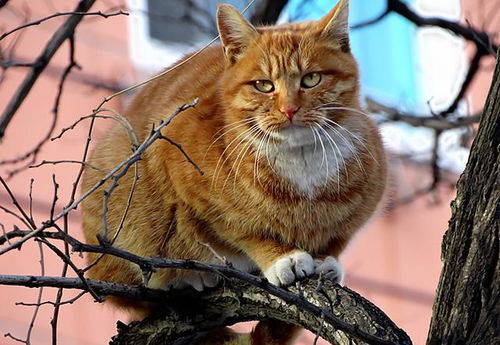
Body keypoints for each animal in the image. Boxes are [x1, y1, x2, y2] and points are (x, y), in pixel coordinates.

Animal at [81, 0, 386, 342]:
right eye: (264, 85)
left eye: (311, 79)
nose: (289, 109)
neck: (301, 162)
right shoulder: (182, 173)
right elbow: (241, 229)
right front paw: (281, 256)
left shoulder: (361, 204)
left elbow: (336, 238)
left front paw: (325, 261)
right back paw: (189, 277)